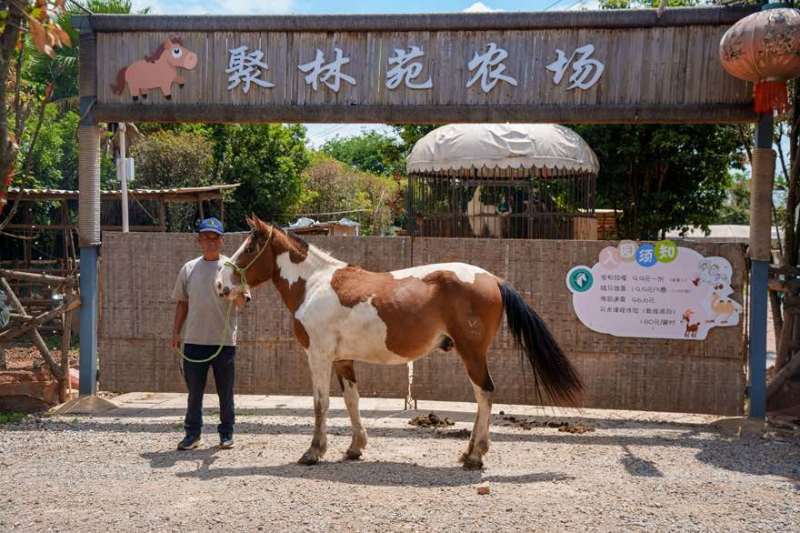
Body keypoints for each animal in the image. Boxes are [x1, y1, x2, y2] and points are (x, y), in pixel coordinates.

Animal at [216, 216, 582, 469]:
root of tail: (492, 278)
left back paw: (475, 455)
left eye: (250, 247)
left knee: (485, 394)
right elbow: (351, 400)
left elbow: (321, 403)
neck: (315, 284)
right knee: (482, 397)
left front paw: (313, 451)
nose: (221, 285)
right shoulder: (342, 360)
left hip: (472, 354)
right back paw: (469, 452)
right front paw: (355, 447)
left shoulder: (318, 356)